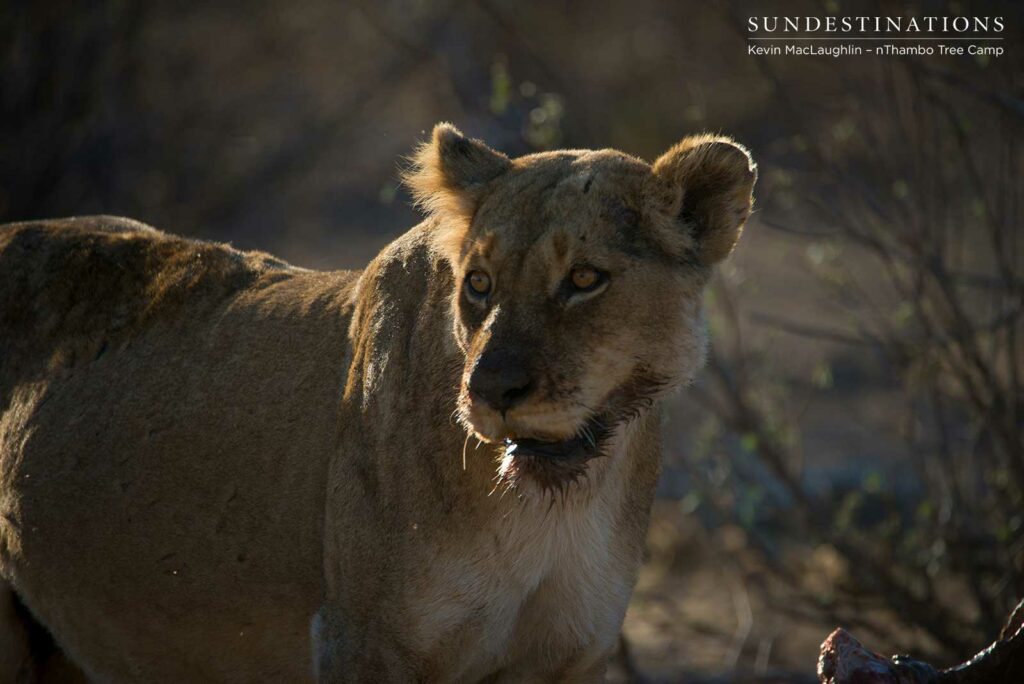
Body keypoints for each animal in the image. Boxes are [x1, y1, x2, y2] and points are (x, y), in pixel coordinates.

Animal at [0, 123, 755, 682]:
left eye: (585, 279)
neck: (550, 513)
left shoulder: (571, 656)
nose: (490, 391)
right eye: (478, 283)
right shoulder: (360, 640)